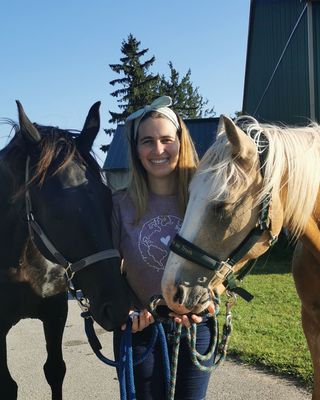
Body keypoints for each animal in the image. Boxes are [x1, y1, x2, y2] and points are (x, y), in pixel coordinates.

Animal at [0, 101, 131, 398]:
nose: (118, 307)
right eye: (55, 209)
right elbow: (7, 385)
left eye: (107, 198)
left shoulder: (55, 314)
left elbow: (55, 370)